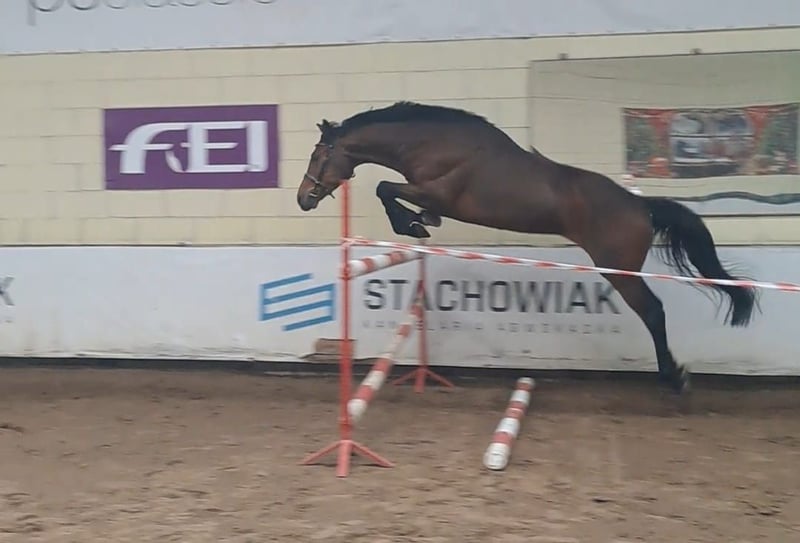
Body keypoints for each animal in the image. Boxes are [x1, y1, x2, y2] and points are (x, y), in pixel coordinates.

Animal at [295, 101, 759, 394]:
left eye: (318, 155)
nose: (303, 198)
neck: (433, 143)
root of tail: (639, 204)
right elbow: (396, 195)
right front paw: (420, 224)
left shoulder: (435, 191)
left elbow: (384, 187)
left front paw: (410, 224)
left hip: (619, 270)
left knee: (653, 311)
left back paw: (673, 377)